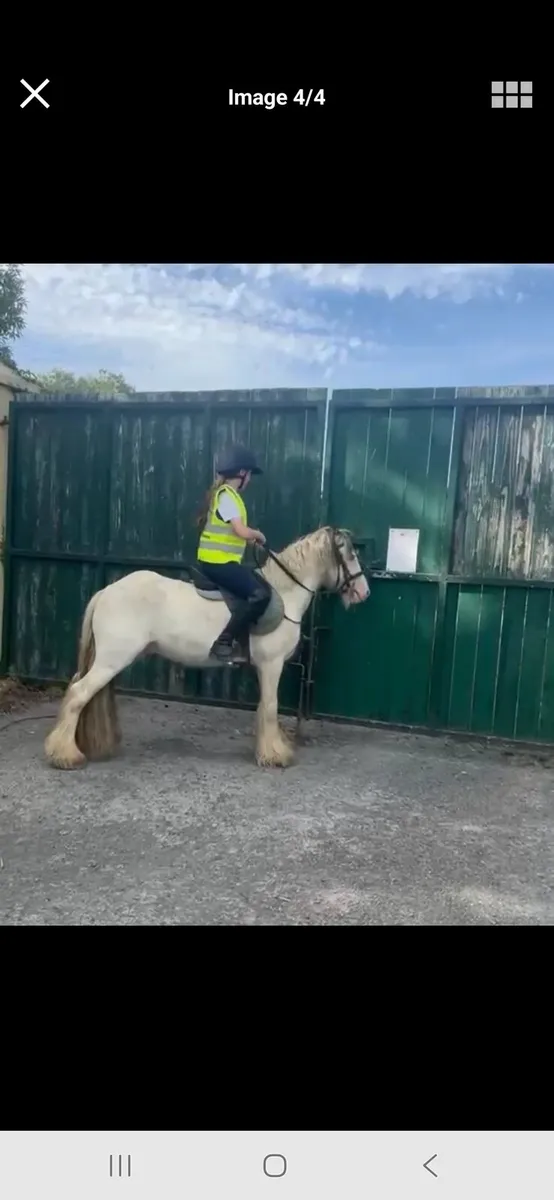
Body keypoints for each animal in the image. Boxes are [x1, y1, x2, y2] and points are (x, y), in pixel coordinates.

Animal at [44, 525, 370, 771]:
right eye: (351, 555)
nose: (363, 592)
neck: (285, 595)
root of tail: (106, 591)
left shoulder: (263, 668)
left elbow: (263, 707)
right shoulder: (272, 664)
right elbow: (270, 707)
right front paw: (275, 755)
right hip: (112, 661)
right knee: (78, 695)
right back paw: (65, 755)